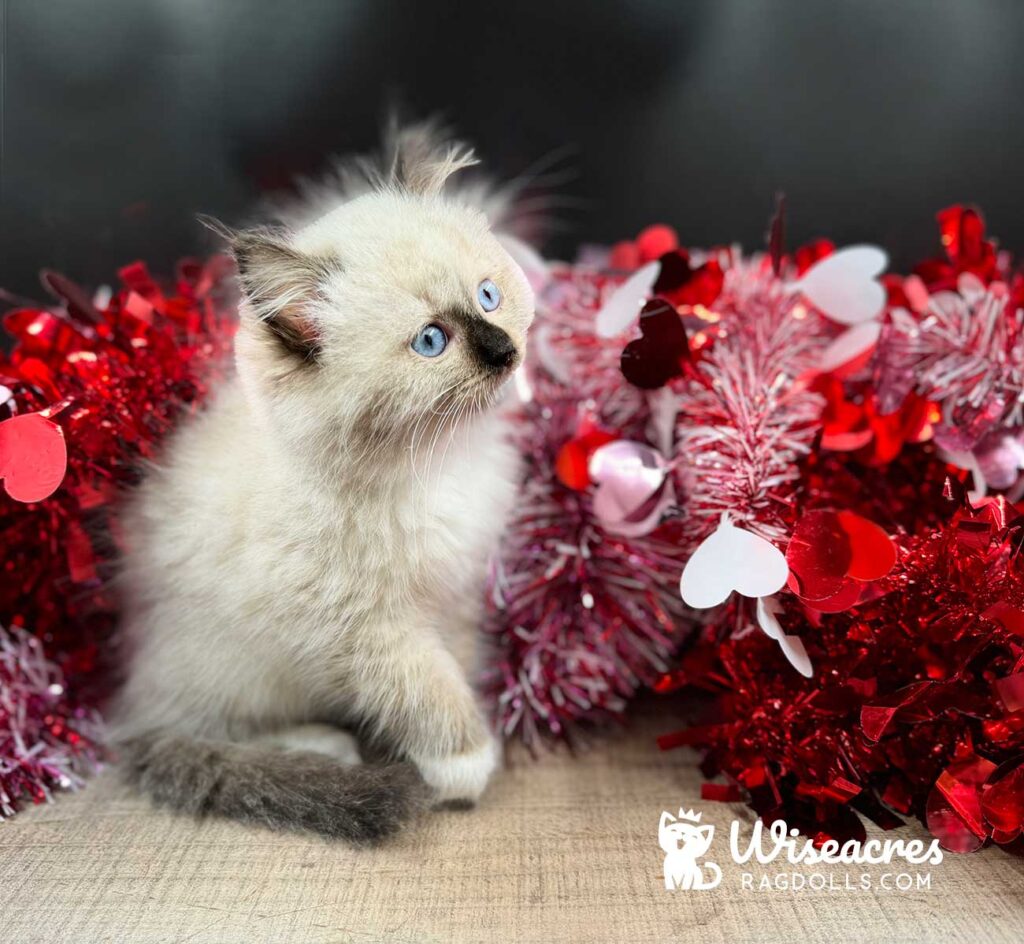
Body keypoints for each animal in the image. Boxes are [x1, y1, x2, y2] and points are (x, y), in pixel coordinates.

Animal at [112, 124, 536, 839]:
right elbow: (430, 691)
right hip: (244, 668)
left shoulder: (451, 596)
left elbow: (455, 665)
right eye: (431, 341)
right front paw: (464, 765)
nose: (504, 351)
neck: (437, 464)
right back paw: (327, 746)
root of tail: (128, 700)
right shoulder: (366, 629)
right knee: (209, 733)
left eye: (488, 296)